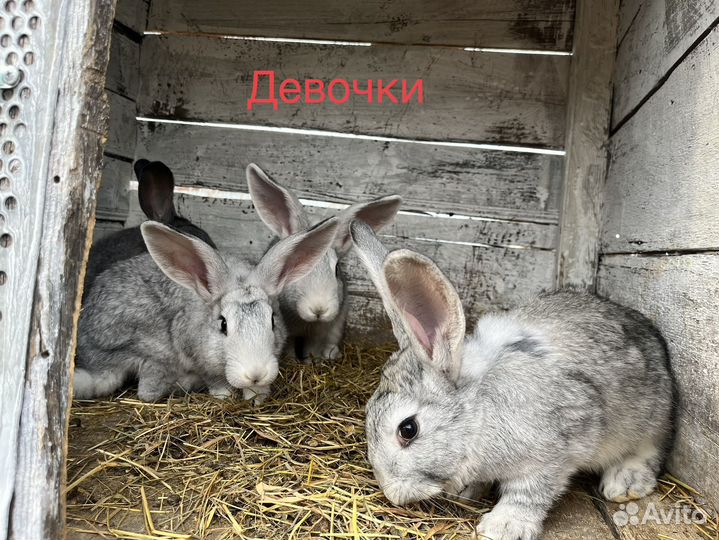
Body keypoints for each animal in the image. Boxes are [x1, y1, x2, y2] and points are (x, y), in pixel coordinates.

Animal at [74, 217, 339, 403]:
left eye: (272, 321)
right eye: (223, 325)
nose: (255, 373)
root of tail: (95, 359)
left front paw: (257, 395)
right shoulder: (199, 356)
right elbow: (215, 381)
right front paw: (226, 395)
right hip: (155, 353)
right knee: (148, 391)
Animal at [246, 163, 402, 362]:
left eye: (336, 270)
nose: (319, 309)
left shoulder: (320, 333)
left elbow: (313, 348)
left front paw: (312, 361)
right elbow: (289, 349)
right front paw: (294, 361)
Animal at [349, 220, 676, 540]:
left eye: (408, 429)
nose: (393, 494)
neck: (478, 411)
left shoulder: (554, 453)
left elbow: (529, 493)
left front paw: (503, 527)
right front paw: (469, 492)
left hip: (648, 418)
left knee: (651, 448)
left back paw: (625, 482)